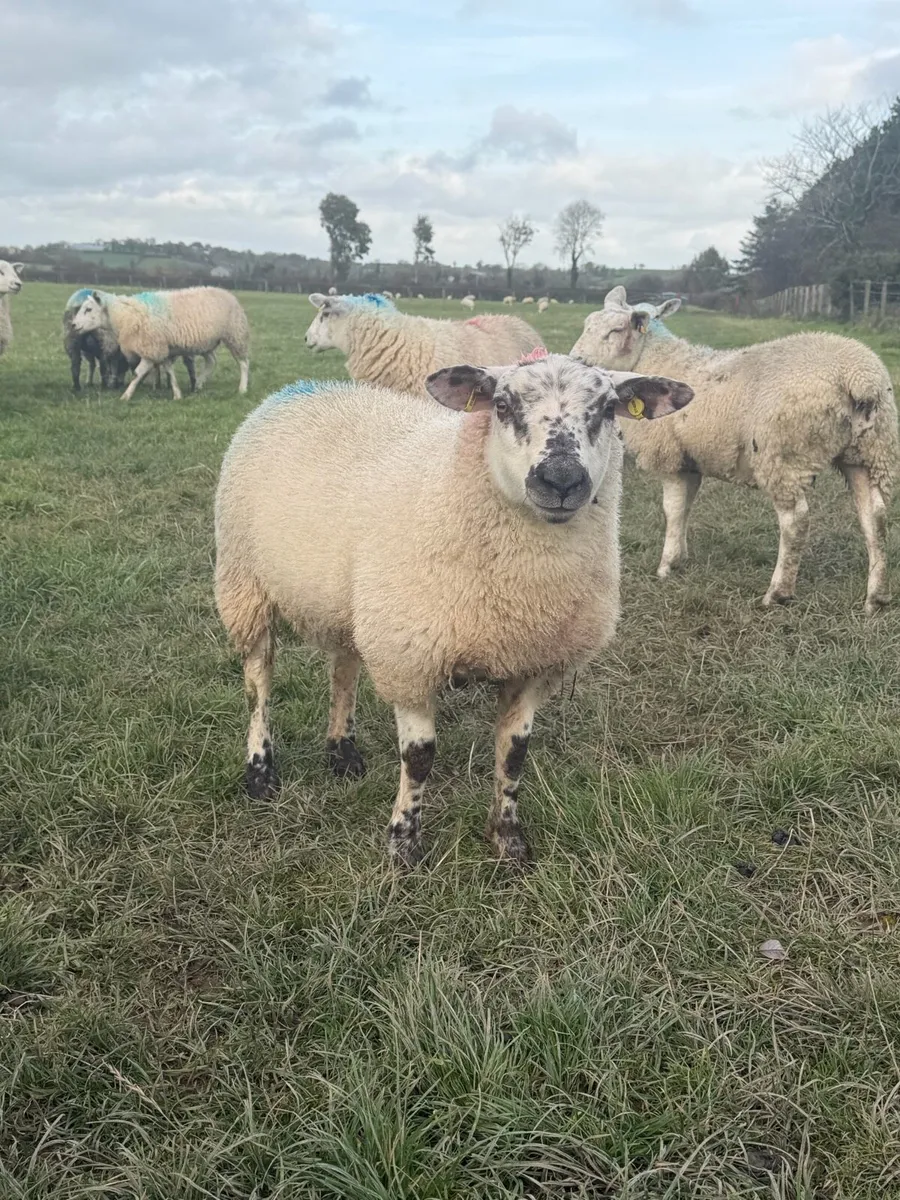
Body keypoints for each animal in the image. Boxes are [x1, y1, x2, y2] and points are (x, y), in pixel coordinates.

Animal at [71, 287, 249, 401]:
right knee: (211, 361)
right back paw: (199, 384)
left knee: (243, 363)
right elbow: (169, 371)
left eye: (88, 309)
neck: (125, 316)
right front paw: (177, 394)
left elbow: (137, 374)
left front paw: (125, 396)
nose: (73, 325)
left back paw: (242, 389)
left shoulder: (151, 349)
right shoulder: (161, 349)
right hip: (207, 342)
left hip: (235, 335)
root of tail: (227, 293)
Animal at [215, 354, 694, 864]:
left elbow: (514, 754)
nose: (561, 480)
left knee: (344, 668)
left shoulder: (535, 663)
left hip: (353, 603)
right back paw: (261, 771)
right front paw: (404, 844)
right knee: (259, 681)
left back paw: (342, 751)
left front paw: (507, 840)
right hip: (244, 582)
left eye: (607, 409)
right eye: (501, 405)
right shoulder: (410, 658)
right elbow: (420, 758)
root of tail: (303, 386)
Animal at [571, 286, 900, 614]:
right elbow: (685, 508)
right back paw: (876, 596)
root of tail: (859, 377)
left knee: (796, 521)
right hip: (869, 452)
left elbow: (672, 510)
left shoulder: (670, 456)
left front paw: (665, 566)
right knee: (875, 517)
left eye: (616, 330)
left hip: (784, 454)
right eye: (587, 324)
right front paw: (680, 558)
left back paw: (778, 592)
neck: (653, 361)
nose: (577, 360)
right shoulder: (690, 460)